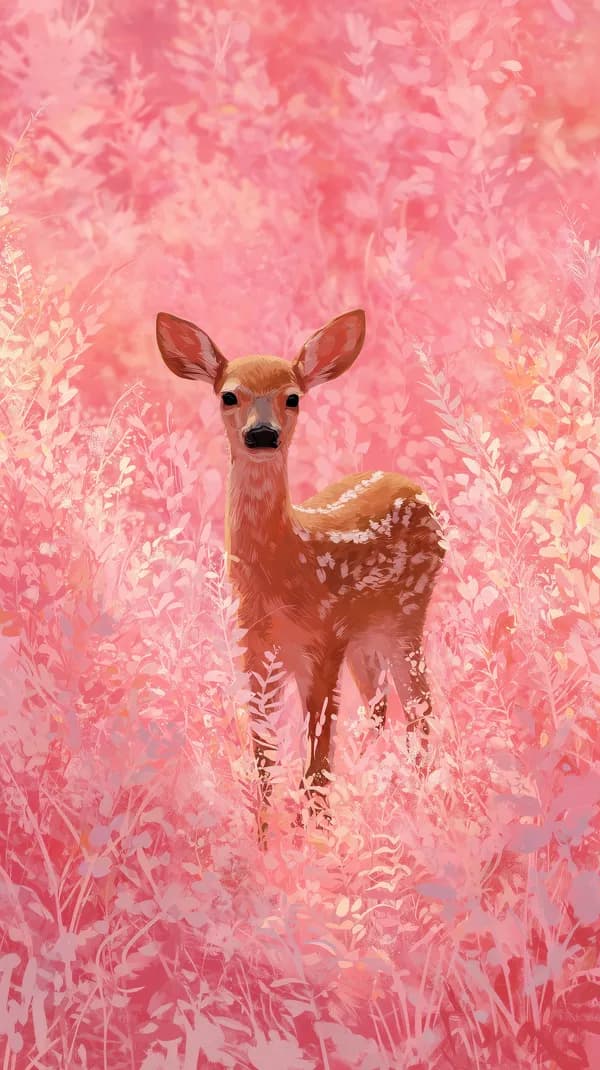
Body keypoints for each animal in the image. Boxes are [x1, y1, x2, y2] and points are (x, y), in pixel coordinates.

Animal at [156, 308, 446, 842]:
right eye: (228, 395)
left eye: (293, 397)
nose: (262, 434)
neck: (284, 571)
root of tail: (411, 484)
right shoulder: (255, 651)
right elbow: (264, 755)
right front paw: (266, 837)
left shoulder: (322, 643)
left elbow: (316, 760)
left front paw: (318, 838)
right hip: (364, 637)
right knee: (378, 709)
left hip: (407, 616)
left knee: (419, 710)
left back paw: (421, 799)